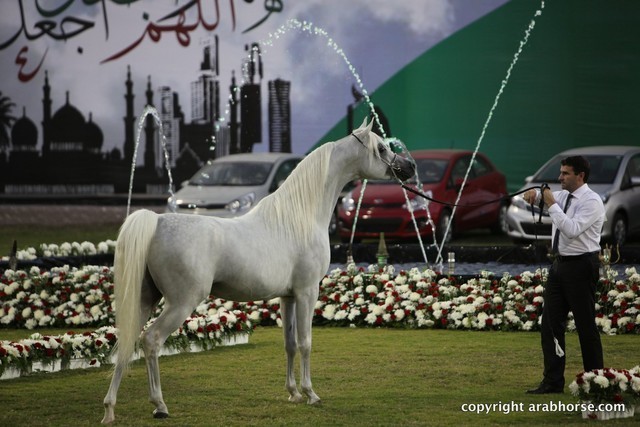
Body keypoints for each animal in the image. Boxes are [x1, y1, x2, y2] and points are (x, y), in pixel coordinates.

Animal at [101, 118, 415, 424]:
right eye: (381, 148)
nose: (409, 167)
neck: (298, 217)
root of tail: (156, 222)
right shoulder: (307, 292)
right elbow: (305, 343)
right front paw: (311, 394)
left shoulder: (287, 297)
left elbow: (289, 344)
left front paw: (293, 393)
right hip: (181, 302)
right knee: (151, 341)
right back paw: (159, 405)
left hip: (145, 299)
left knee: (127, 342)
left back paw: (110, 409)